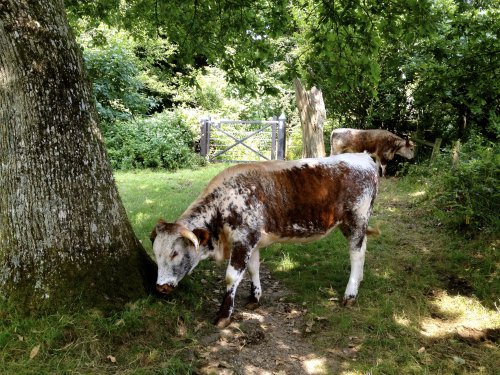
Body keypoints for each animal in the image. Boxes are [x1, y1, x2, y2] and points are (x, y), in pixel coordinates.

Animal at [152, 153, 378, 328]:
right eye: (156, 253)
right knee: (363, 249)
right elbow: (253, 269)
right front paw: (254, 298)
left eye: (175, 253)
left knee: (356, 255)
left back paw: (350, 295)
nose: (161, 286)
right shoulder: (253, 241)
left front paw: (223, 316)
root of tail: (364, 157)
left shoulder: (244, 240)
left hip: (356, 220)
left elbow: (231, 277)